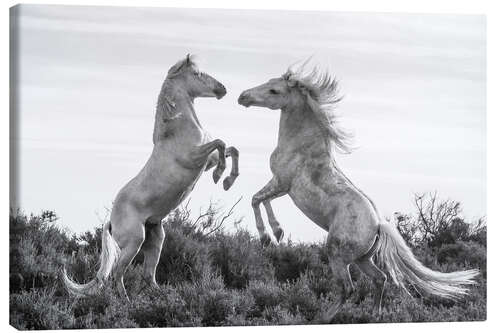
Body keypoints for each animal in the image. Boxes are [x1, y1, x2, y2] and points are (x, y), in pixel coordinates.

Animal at [63, 54, 240, 298]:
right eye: (197, 74)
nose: (222, 89)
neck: (175, 132)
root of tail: (111, 222)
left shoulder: (206, 161)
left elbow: (231, 149)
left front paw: (228, 180)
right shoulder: (193, 158)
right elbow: (221, 143)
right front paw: (220, 176)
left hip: (155, 239)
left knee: (148, 276)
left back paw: (164, 296)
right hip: (134, 241)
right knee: (117, 275)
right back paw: (126, 302)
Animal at [238, 61, 480, 320]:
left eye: (274, 91)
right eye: (267, 82)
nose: (243, 97)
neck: (301, 146)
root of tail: (378, 225)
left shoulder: (282, 182)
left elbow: (255, 199)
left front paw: (268, 235)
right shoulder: (282, 186)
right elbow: (262, 200)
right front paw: (277, 233)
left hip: (337, 255)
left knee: (348, 288)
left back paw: (324, 317)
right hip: (362, 259)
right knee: (380, 278)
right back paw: (375, 314)